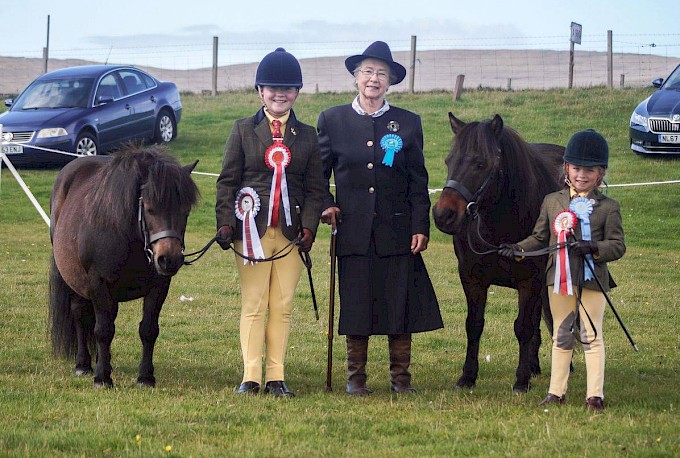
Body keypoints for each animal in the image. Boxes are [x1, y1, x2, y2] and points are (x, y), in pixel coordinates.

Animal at [48, 145, 198, 388]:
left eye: (185, 210)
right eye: (149, 208)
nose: (169, 259)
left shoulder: (159, 286)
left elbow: (148, 329)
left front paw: (145, 377)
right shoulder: (97, 283)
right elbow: (103, 330)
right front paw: (102, 378)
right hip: (75, 280)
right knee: (81, 315)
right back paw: (83, 364)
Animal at [432, 112, 564, 392]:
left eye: (480, 163)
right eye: (449, 161)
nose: (443, 215)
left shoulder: (529, 281)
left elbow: (523, 327)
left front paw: (521, 380)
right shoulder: (472, 279)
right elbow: (474, 325)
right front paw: (468, 376)